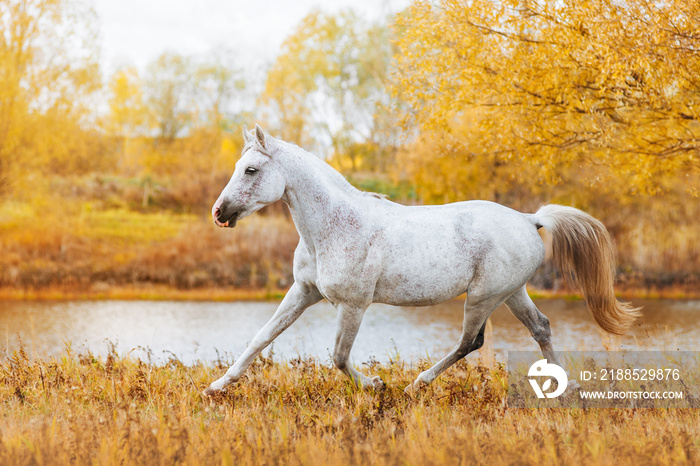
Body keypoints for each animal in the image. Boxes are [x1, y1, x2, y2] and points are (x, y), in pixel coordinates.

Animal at [202, 125, 640, 396]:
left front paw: (375, 385)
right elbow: (261, 337)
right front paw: (216, 387)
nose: (219, 213)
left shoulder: (354, 305)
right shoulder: (304, 292)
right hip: (513, 292)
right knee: (541, 328)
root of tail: (529, 219)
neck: (332, 228)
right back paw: (567, 387)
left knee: (471, 341)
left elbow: (339, 356)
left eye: (251, 169)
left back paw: (418, 384)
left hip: (483, 297)